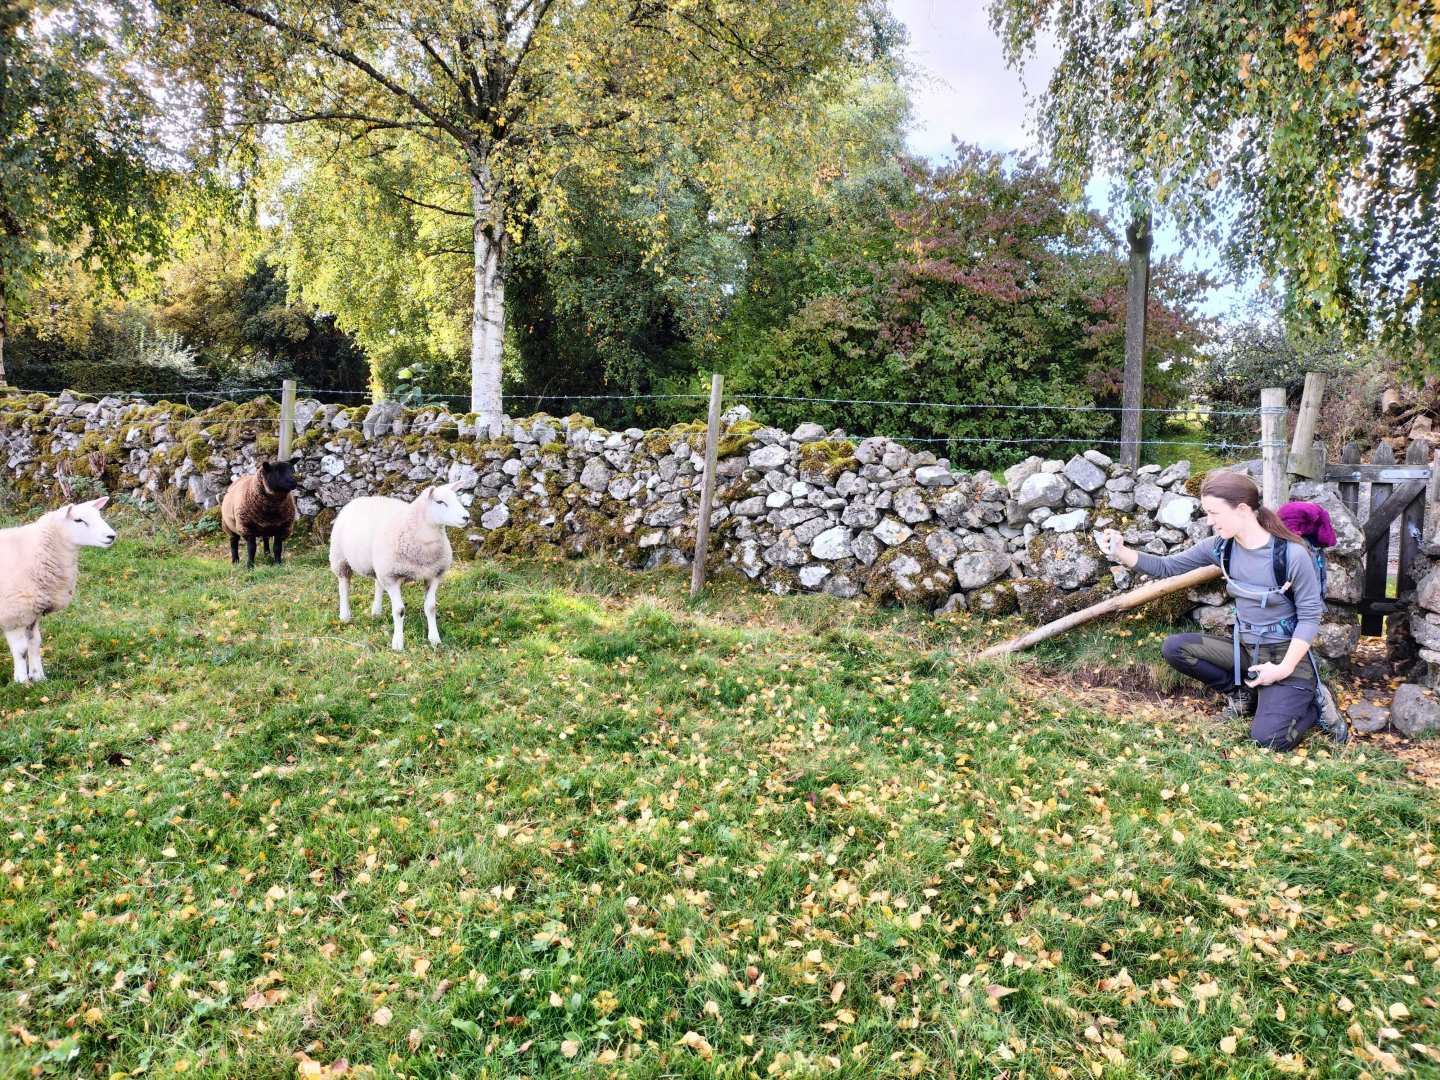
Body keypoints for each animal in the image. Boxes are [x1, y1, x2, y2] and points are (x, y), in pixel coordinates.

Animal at [0, 498, 117, 685]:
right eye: (78, 520)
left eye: (99, 515)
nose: (111, 536)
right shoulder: (13, 612)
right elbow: (21, 650)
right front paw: (21, 681)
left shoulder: (32, 612)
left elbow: (35, 644)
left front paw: (38, 677)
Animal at [329, 489, 469, 656]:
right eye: (440, 501)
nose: (466, 517)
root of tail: (359, 499)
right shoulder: (392, 577)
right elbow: (399, 610)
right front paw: (398, 643)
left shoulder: (434, 574)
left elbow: (431, 607)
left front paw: (434, 639)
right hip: (340, 558)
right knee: (344, 585)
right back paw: (345, 616)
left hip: (379, 565)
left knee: (377, 584)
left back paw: (376, 612)